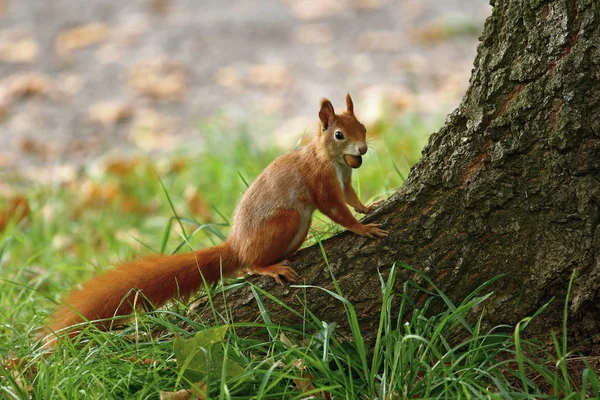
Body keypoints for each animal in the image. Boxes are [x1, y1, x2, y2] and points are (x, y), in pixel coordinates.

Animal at [44, 94, 386, 340]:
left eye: (364, 127)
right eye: (339, 134)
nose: (363, 149)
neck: (333, 160)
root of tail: (235, 245)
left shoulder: (344, 180)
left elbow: (351, 199)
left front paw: (369, 207)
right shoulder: (320, 181)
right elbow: (336, 209)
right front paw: (363, 228)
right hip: (286, 219)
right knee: (251, 263)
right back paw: (268, 266)